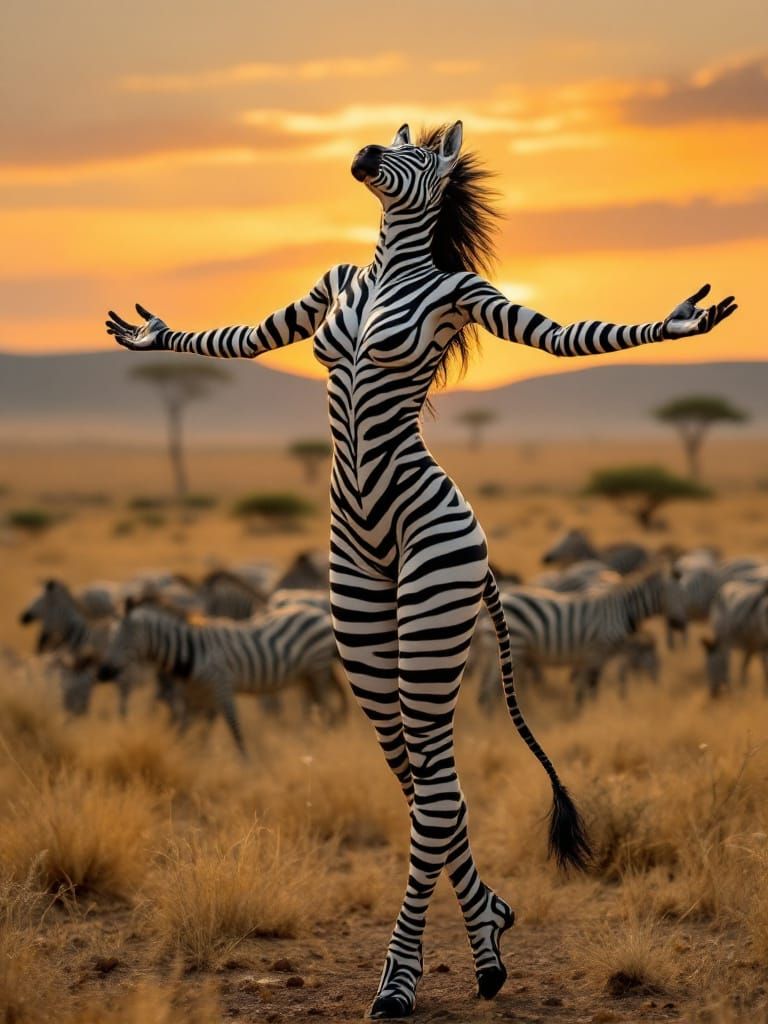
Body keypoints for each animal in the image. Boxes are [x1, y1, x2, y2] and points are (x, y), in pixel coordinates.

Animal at [97, 601, 347, 753]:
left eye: (124, 639)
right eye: (109, 637)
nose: (101, 673)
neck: (191, 653)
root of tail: (321, 614)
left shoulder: (222, 686)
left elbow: (233, 727)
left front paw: (246, 763)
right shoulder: (194, 695)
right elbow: (188, 727)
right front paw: (186, 751)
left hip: (317, 669)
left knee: (323, 707)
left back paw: (321, 738)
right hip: (306, 675)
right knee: (314, 707)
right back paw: (308, 738)